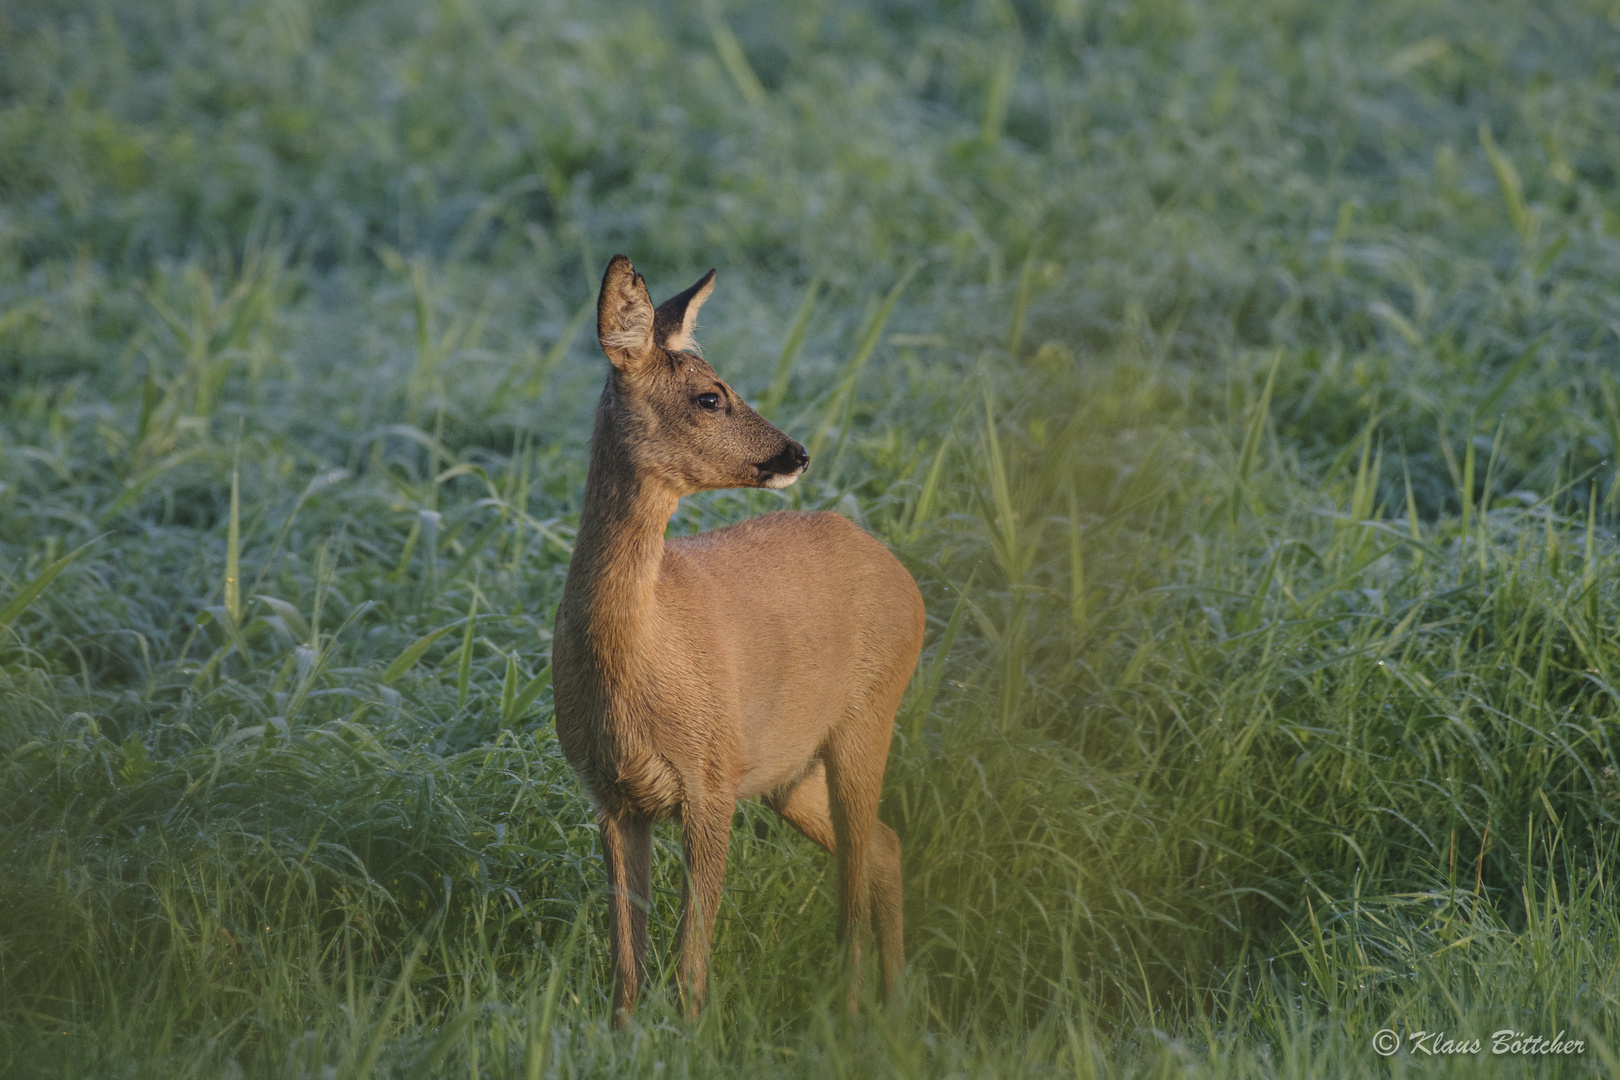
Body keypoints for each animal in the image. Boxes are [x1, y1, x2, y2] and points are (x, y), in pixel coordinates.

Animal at [550, 257, 926, 1029]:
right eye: (710, 396)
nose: (796, 452)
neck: (635, 660)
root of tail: (906, 580)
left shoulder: (711, 777)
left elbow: (691, 955)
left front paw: (691, 1033)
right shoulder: (610, 793)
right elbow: (626, 960)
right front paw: (623, 1035)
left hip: (868, 717)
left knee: (859, 861)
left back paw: (852, 1012)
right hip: (788, 770)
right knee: (883, 846)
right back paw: (892, 1002)